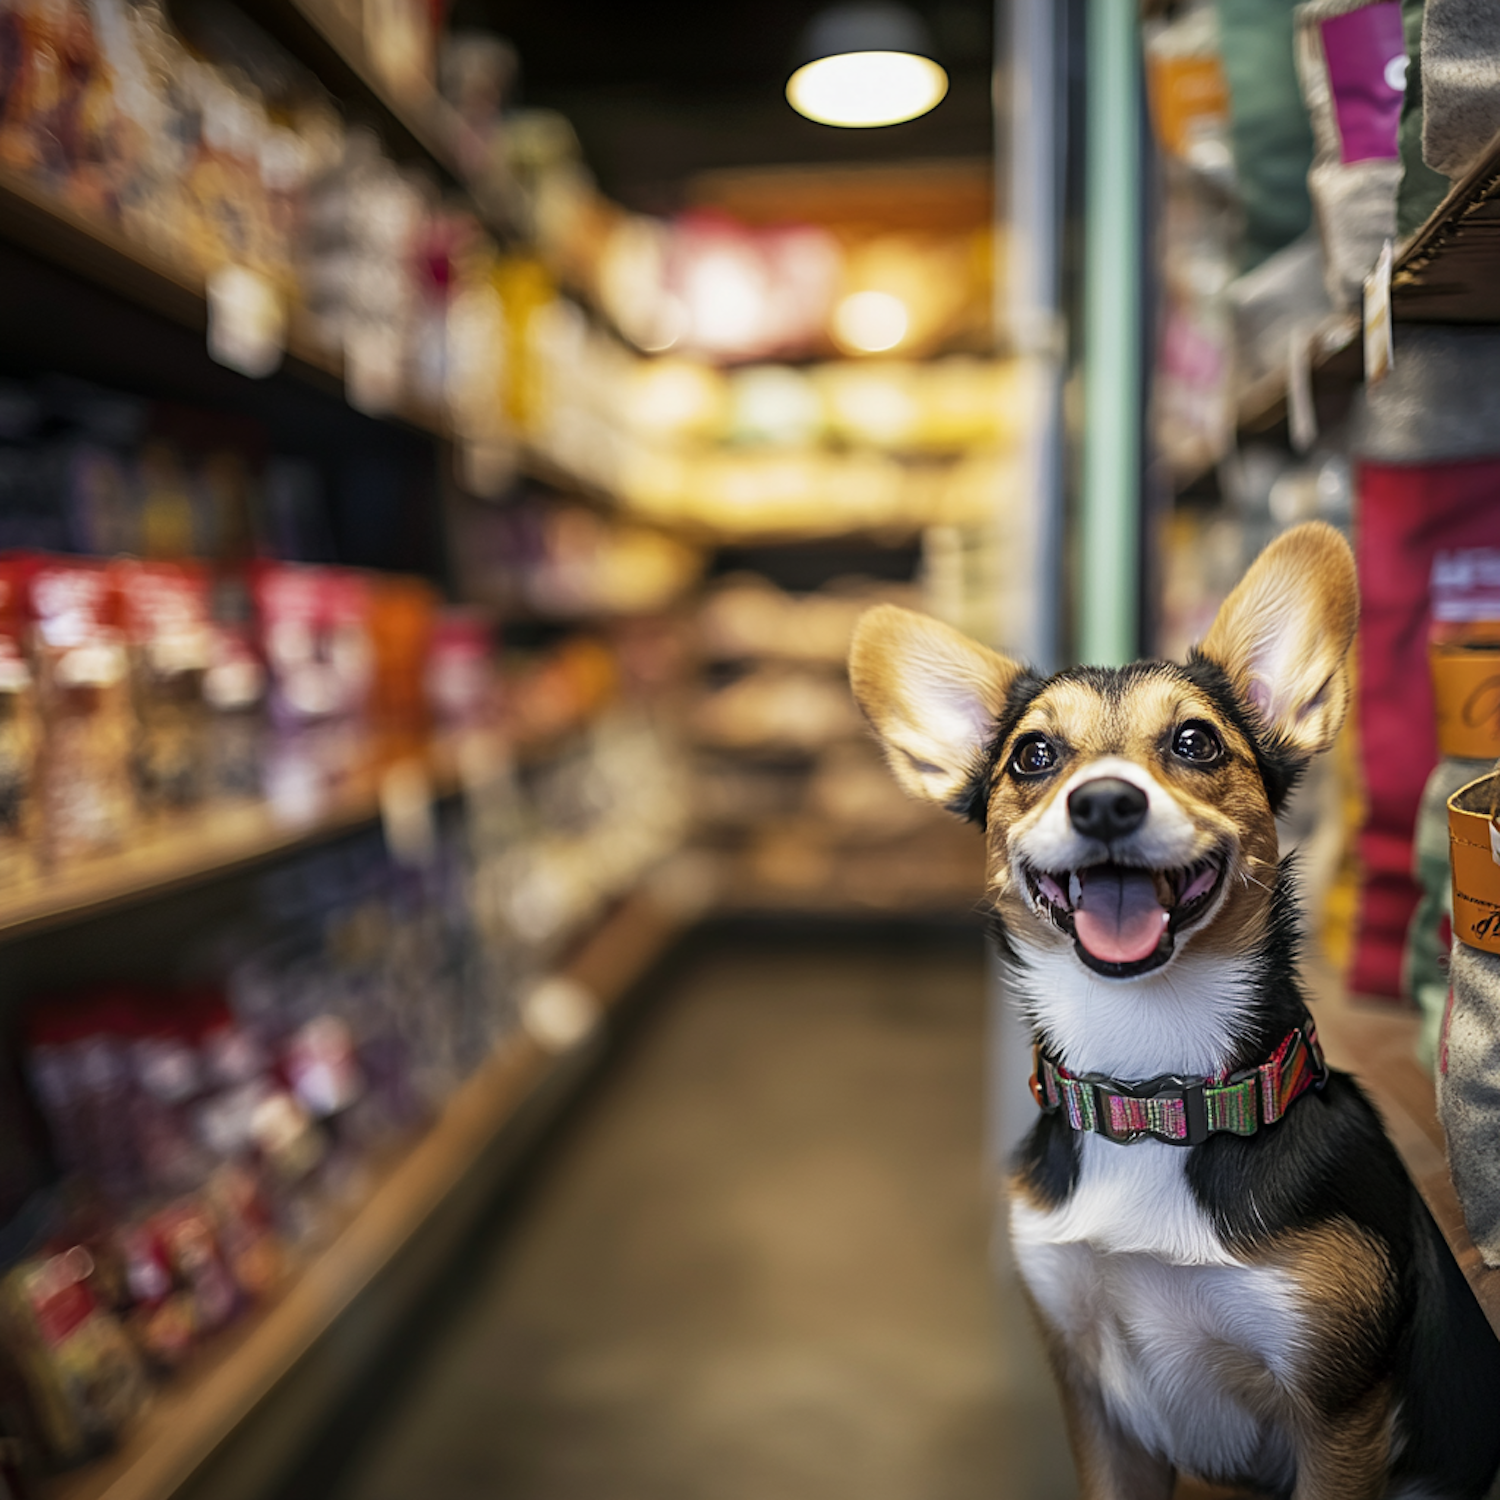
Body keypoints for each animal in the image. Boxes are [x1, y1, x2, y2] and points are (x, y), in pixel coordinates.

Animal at [852, 528, 1500, 1500]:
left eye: (1195, 741)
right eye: (1033, 756)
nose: (1104, 802)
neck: (1149, 1094)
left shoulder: (1337, 1420)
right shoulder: (1092, 1400)